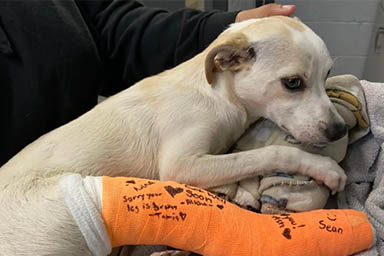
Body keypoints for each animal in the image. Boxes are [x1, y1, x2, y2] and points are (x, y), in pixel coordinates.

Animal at [0, 16, 348, 254]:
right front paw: (324, 168)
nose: (339, 130)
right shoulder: (183, 165)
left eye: (327, 75)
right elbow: (273, 151)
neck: (222, 97)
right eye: (292, 83)